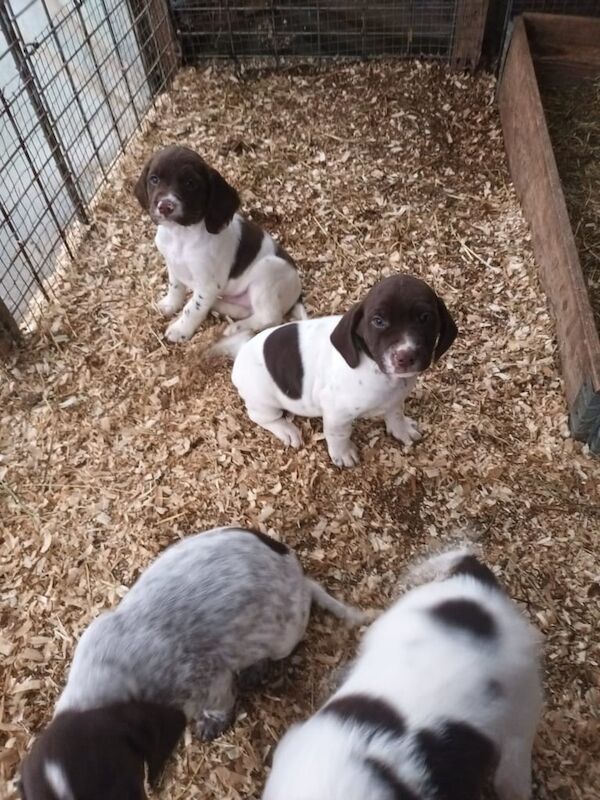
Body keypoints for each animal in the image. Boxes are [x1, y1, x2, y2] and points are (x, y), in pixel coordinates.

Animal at [135, 145, 304, 342]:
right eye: (154, 179)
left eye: (190, 183)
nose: (165, 206)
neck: (180, 235)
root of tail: (298, 290)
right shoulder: (173, 265)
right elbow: (175, 288)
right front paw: (168, 305)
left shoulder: (207, 284)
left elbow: (192, 309)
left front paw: (180, 330)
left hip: (266, 274)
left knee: (269, 316)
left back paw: (236, 328)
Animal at [223, 274, 458, 466]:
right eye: (378, 321)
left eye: (425, 317)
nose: (405, 356)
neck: (376, 369)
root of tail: (241, 351)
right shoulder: (337, 414)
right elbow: (338, 436)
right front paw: (343, 455)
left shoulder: (395, 400)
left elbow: (396, 414)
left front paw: (401, 430)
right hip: (264, 402)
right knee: (261, 417)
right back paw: (286, 430)